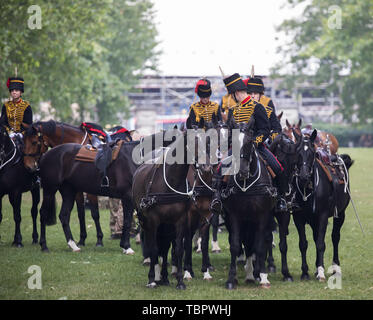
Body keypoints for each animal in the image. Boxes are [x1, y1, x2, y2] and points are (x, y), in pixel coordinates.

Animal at [294, 129, 352, 280]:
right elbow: (303, 244)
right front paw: (305, 272)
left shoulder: (323, 216)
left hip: (340, 214)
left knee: (335, 237)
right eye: (297, 152)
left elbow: (321, 243)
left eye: (312, 153)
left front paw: (320, 271)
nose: (303, 176)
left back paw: (335, 267)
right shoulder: (298, 218)